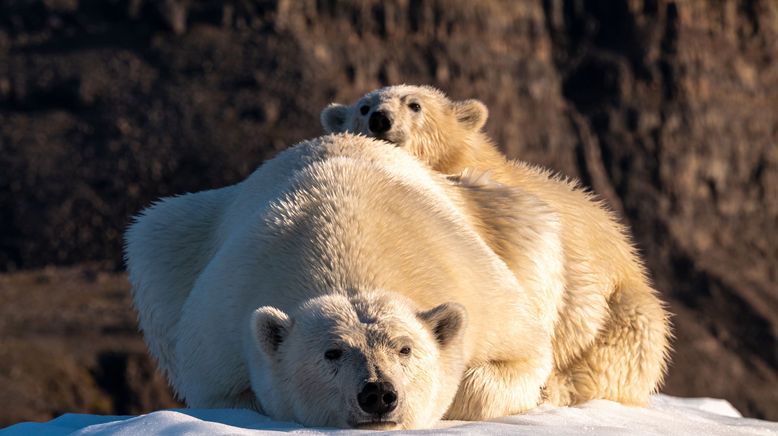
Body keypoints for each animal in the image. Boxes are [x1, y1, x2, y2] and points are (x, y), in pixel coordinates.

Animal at [126, 132, 564, 426]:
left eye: (404, 348)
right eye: (332, 352)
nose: (378, 393)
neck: (347, 248)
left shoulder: (473, 283)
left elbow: (521, 354)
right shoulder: (221, 324)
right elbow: (227, 391)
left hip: (507, 219)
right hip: (174, 241)